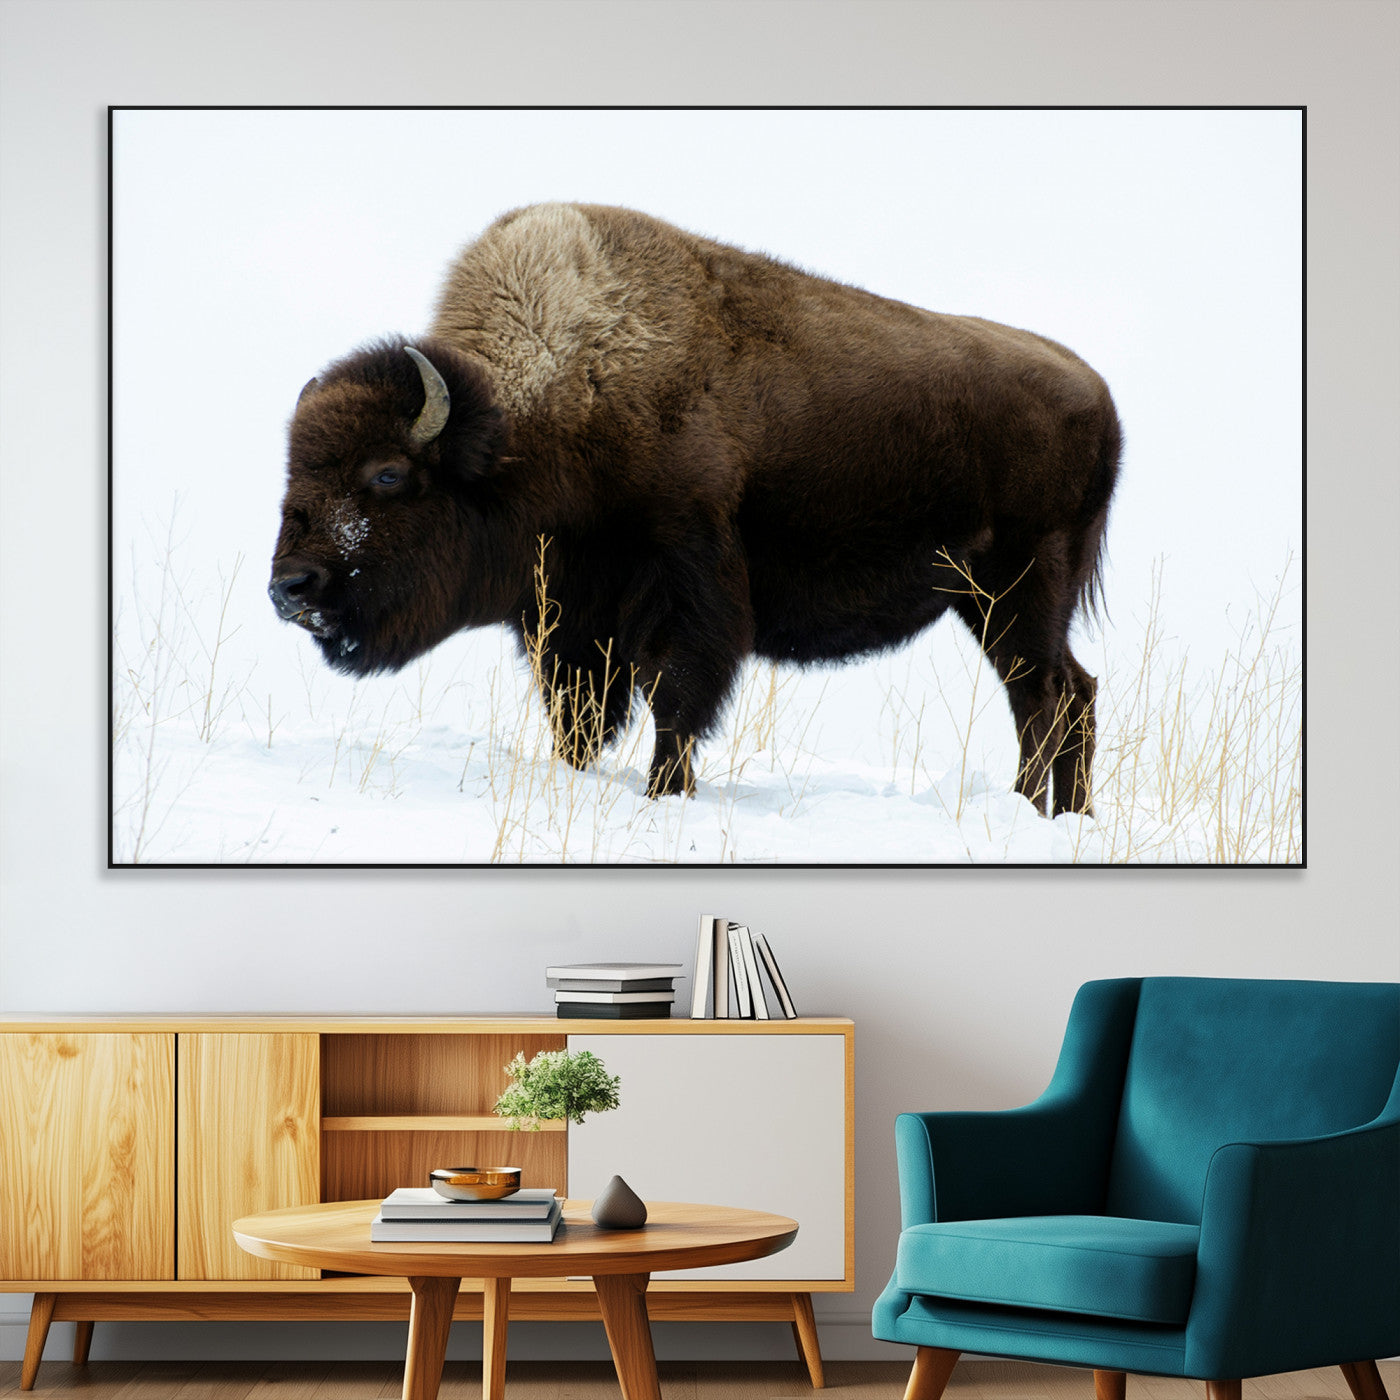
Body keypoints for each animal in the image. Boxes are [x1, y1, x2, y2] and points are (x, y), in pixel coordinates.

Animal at [271, 203, 1120, 814]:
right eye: (295, 470)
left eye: (387, 475)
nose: (290, 589)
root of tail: (1098, 392)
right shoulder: (570, 619)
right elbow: (579, 716)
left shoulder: (687, 589)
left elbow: (677, 701)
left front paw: (664, 796)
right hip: (988, 601)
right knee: (1064, 693)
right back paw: (1059, 816)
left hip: (1020, 587)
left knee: (1046, 696)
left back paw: (1030, 812)